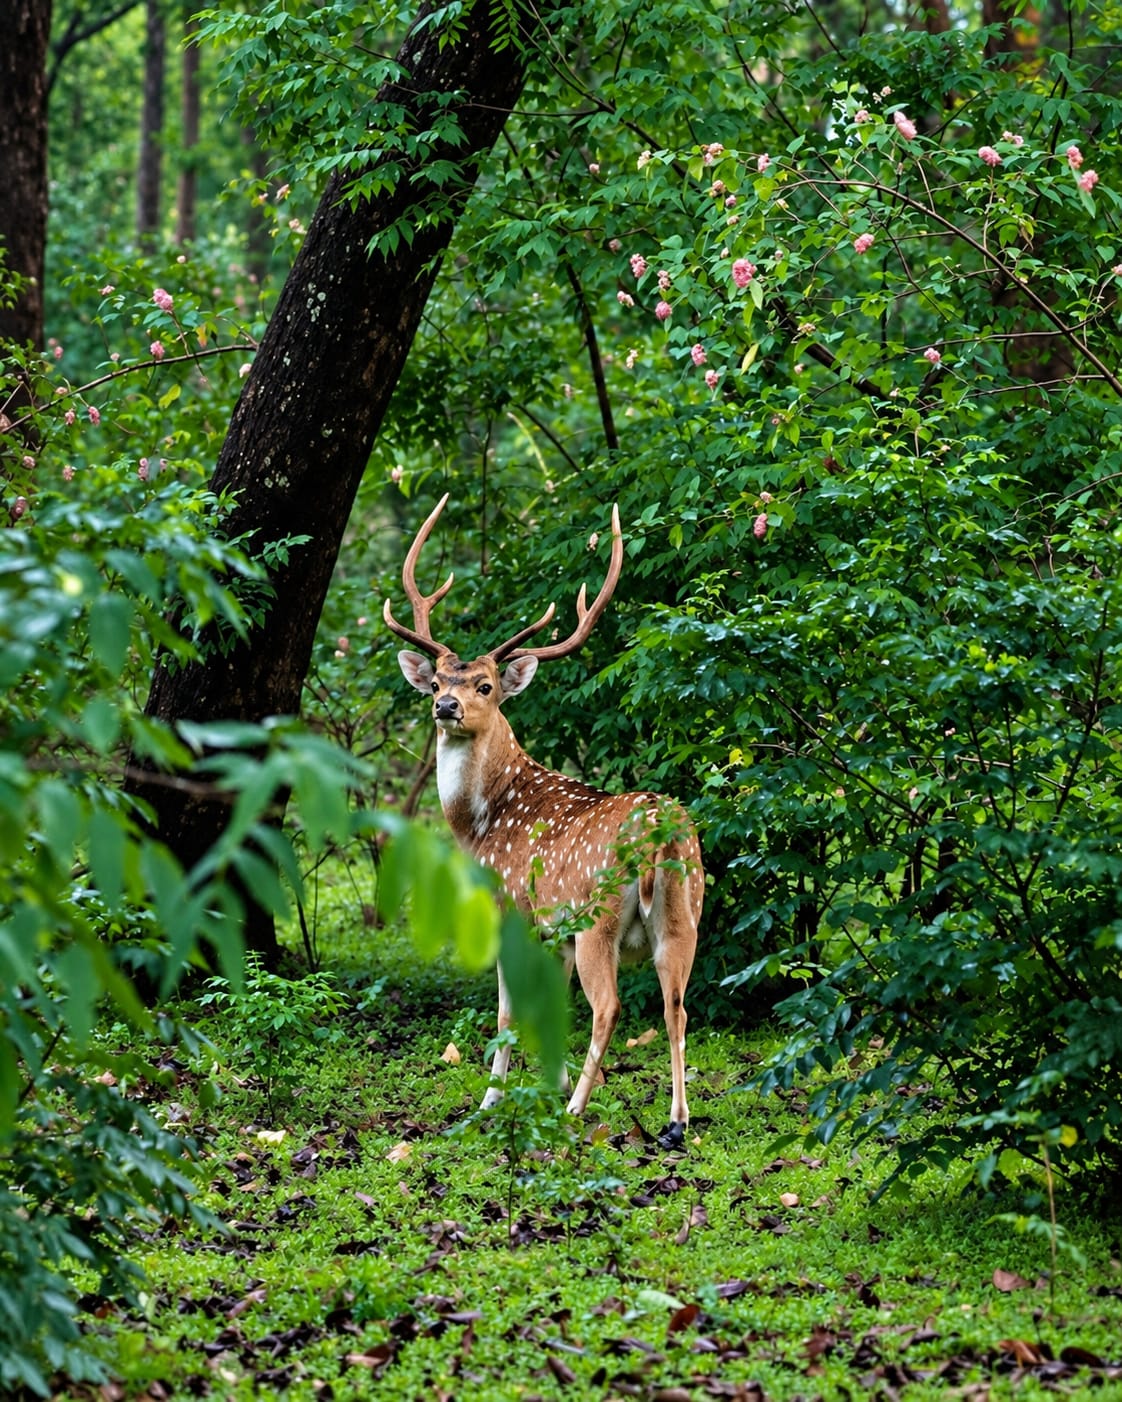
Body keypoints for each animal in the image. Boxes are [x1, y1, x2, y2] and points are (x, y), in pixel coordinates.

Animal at [384, 495, 703, 1149]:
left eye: (485, 685)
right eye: (437, 680)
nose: (445, 706)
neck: (483, 822)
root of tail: (660, 834)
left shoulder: (512, 907)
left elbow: (509, 1007)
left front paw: (491, 1100)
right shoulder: (551, 931)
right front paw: (546, 1085)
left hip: (596, 916)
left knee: (610, 1006)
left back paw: (578, 1111)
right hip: (685, 914)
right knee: (677, 1005)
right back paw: (674, 1123)